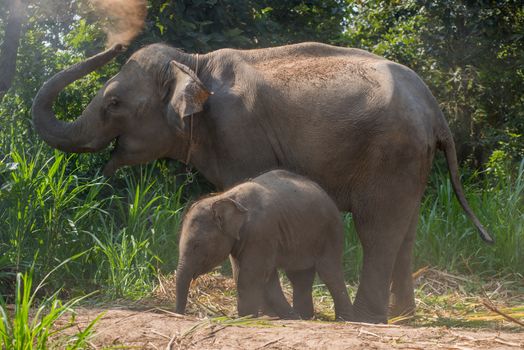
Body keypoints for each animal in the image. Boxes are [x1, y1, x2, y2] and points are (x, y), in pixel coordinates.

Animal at [175, 170, 352, 320]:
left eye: (197, 245)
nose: (179, 315)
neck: (224, 197)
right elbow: (248, 274)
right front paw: (276, 317)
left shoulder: (260, 232)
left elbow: (250, 275)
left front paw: (245, 318)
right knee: (299, 276)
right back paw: (304, 317)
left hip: (330, 232)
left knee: (329, 272)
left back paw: (344, 319)